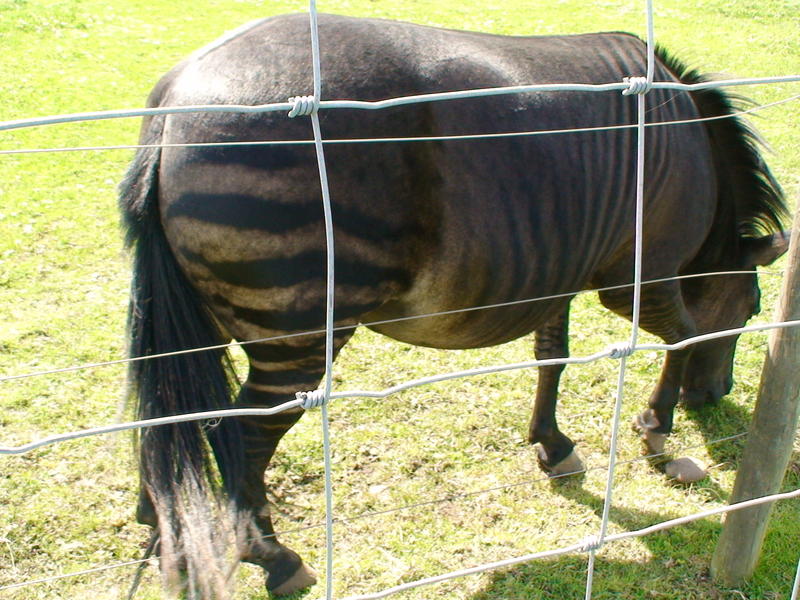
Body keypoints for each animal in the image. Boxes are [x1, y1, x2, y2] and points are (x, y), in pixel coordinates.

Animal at [119, 13, 789, 598]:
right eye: (752, 313)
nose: (717, 397)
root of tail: (174, 99)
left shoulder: (556, 268)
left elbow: (553, 357)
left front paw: (554, 445)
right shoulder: (639, 276)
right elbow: (682, 335)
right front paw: (658, 434)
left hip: (206, 316)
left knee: (172, 415)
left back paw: (162, 522)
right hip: (299, 333)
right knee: (241, 435)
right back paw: (275, 558)